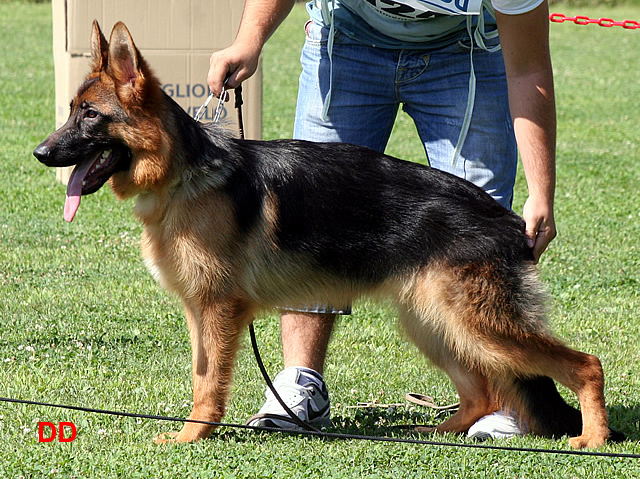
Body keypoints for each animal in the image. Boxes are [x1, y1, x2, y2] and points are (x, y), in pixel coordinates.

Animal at [33, 21, 616, 450]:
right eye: (70, 111)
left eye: (90, 115)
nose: (39, 153)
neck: (183, 174)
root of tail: (509, 221)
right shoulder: (200, 312)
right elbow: (201, 376)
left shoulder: (218, 310)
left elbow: (208, 383)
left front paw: (191, 437)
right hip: (435, 324)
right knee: (481, 394)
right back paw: (435, 432)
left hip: (478, 326)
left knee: (583, 365)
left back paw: (593, 439)